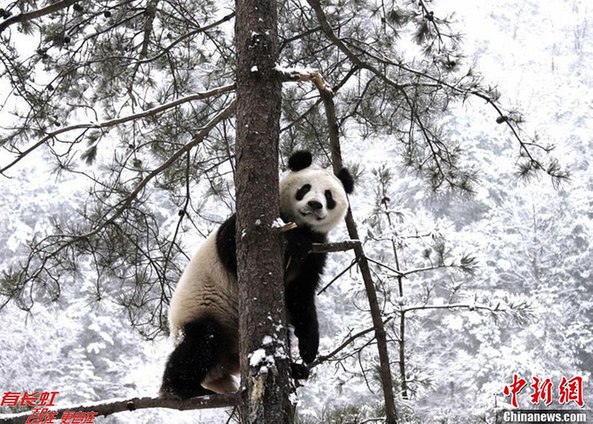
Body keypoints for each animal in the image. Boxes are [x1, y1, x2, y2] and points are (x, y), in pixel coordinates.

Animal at [160, 151, 354, 400]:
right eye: (306, 188)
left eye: (329, 195)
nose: (314, 204)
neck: (300, 226)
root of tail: (225, 369)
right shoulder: (244, 225)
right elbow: (232, 250)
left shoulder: (315, 252)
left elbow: (301, 297)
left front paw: (309, 348)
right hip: (202, 309)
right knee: (202, 341)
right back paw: (182, 388)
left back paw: (295, 369)